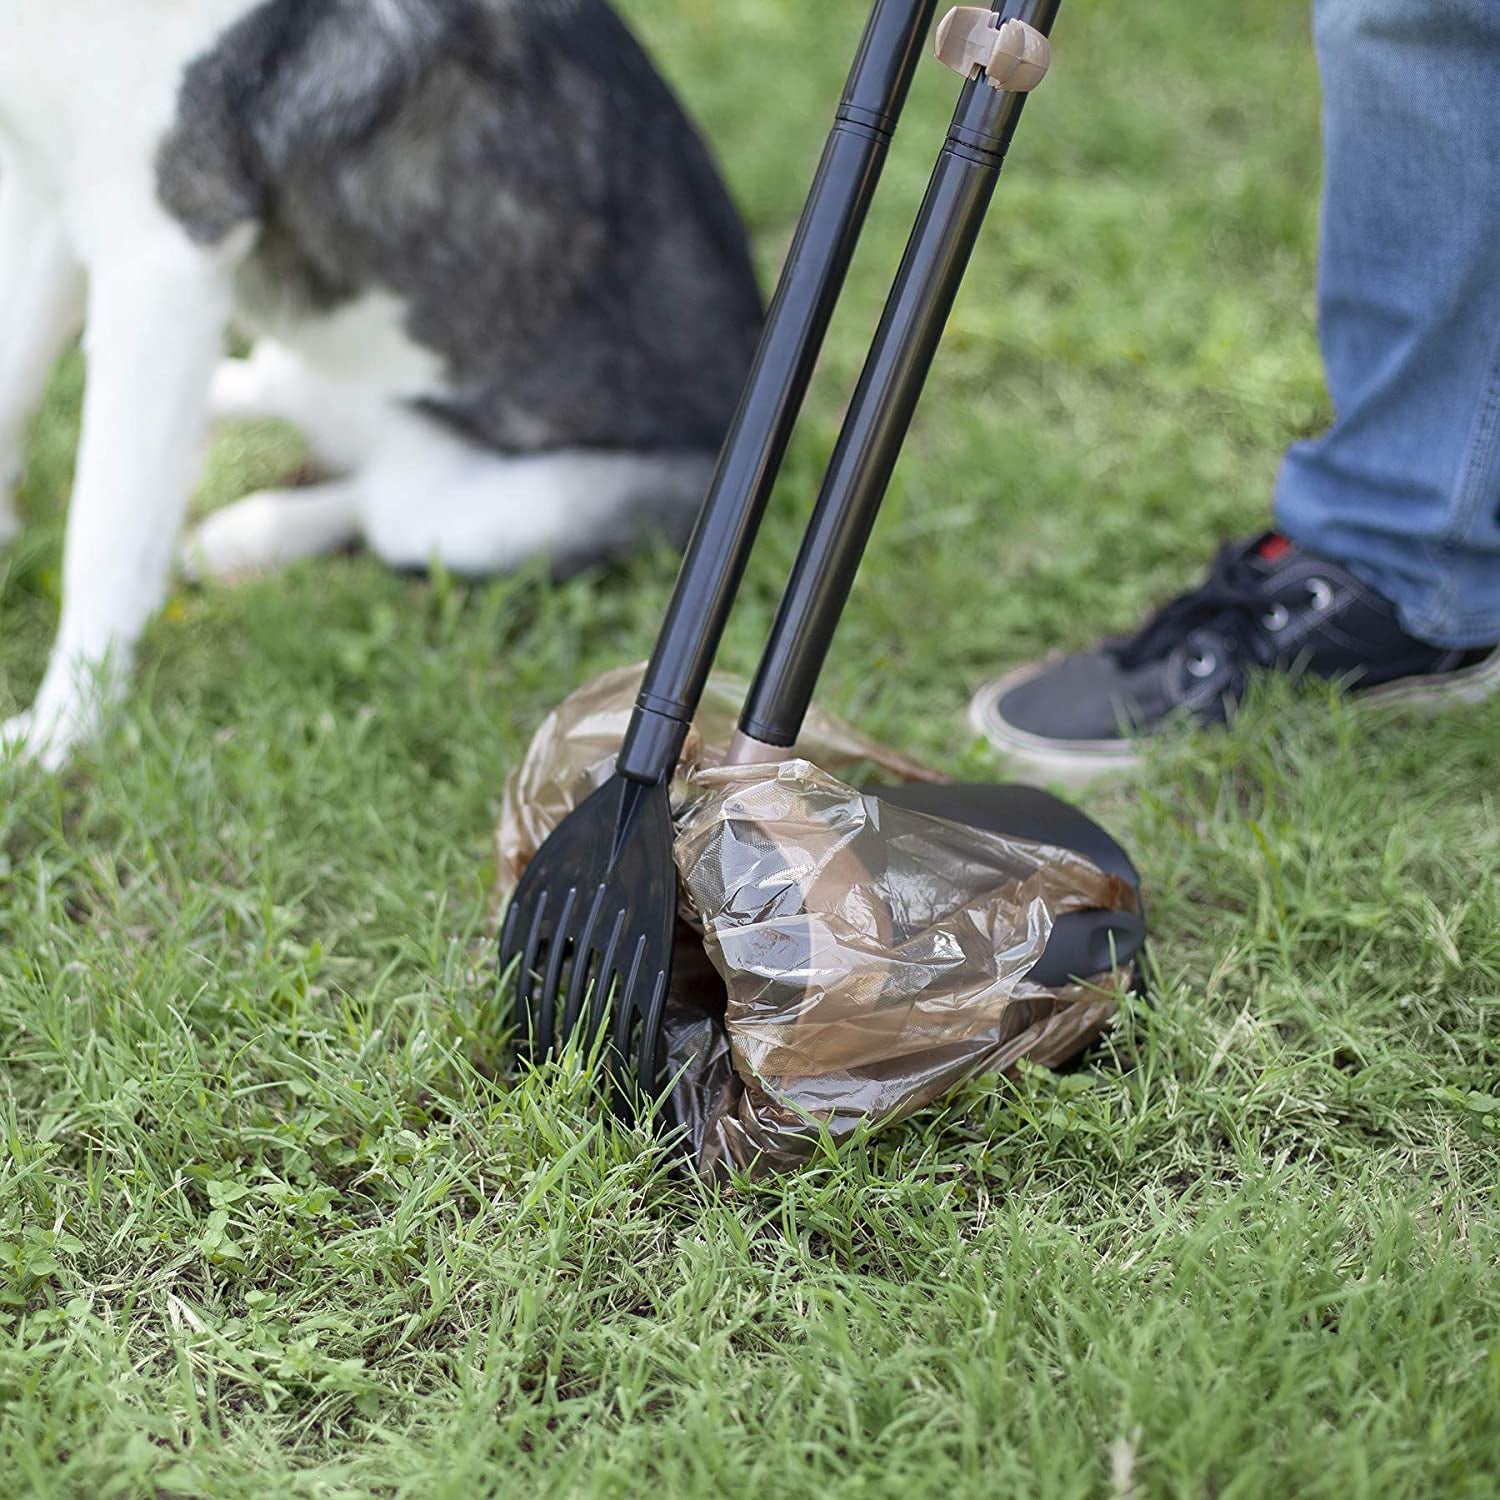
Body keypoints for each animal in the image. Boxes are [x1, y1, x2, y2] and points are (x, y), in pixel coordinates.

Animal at [0, 0, 756, 768]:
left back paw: (251, 531)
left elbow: (104, 532)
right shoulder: (41, 189)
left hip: (491, 516)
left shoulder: (163, 247)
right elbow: (13, 381)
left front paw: (62, 732)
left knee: (379, 505)